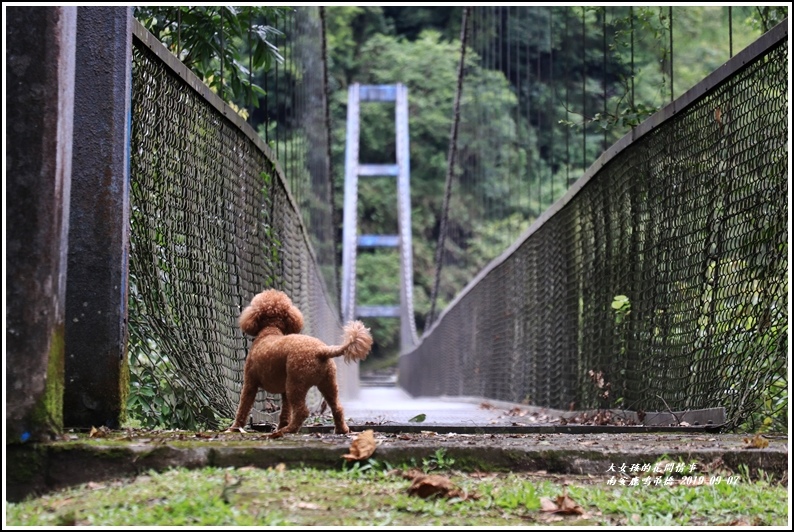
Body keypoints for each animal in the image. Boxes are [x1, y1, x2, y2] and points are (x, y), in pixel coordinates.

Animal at [229, 288, 372, 434]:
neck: (270, 330)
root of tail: (321, 350)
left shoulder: (250, 383)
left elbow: (243, 407)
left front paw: (235, 427)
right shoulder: (284, 390)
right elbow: (285, 411)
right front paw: (281, 425)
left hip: (296, 383)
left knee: (302, 411)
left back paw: (289, 430)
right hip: (328, 384)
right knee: (337, 407)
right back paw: (341, 430)